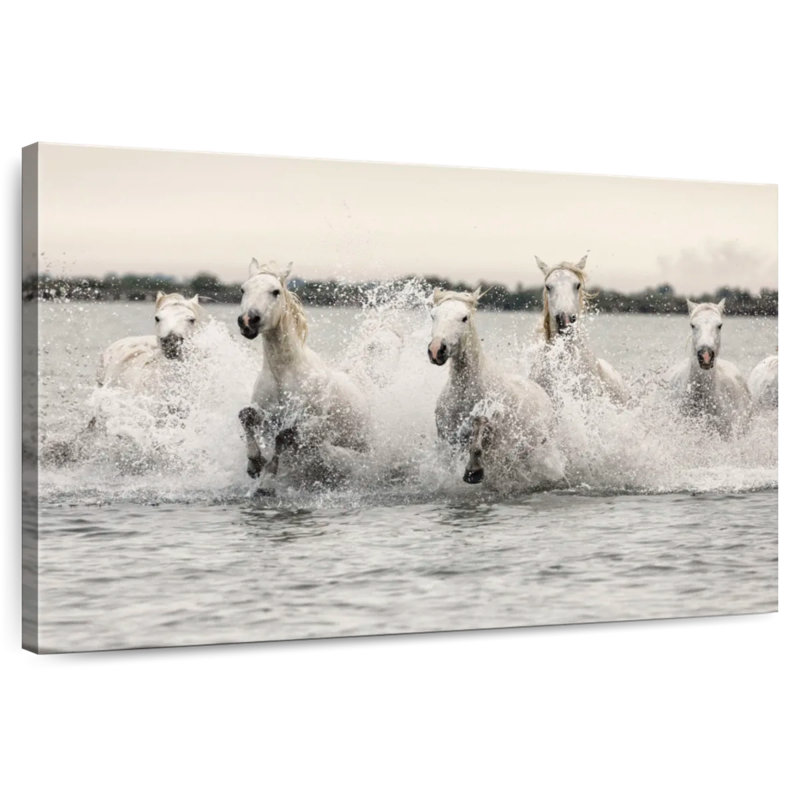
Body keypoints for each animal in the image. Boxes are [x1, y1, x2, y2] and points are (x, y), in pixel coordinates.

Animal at [237, 258, 370, 484]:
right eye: (243, 289)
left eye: (275, 291)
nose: (247, 321)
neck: (284, 374)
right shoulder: (268, 416)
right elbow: (246, 415)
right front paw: (254, 463)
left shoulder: (313, 424)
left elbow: (285, 435)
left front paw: (268, 477)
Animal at [427, 287, 564, 490]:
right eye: (433, 315)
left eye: (464, 318)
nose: (437, 350)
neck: (466, 392)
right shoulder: (447, 438)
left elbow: (477, 441)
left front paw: (473, 471)